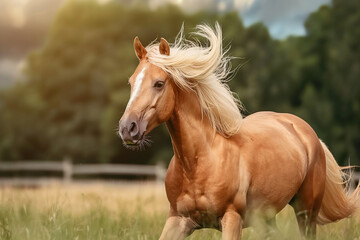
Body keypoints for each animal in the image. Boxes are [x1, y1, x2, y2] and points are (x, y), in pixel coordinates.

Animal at [119, 23, 360, 240]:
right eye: (130, 83)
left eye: (159, 83)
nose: (127, 128)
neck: (198, 162)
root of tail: (307, 133)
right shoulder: (178, 220)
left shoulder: (232, 218)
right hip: (266, 217)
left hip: (306, 211)